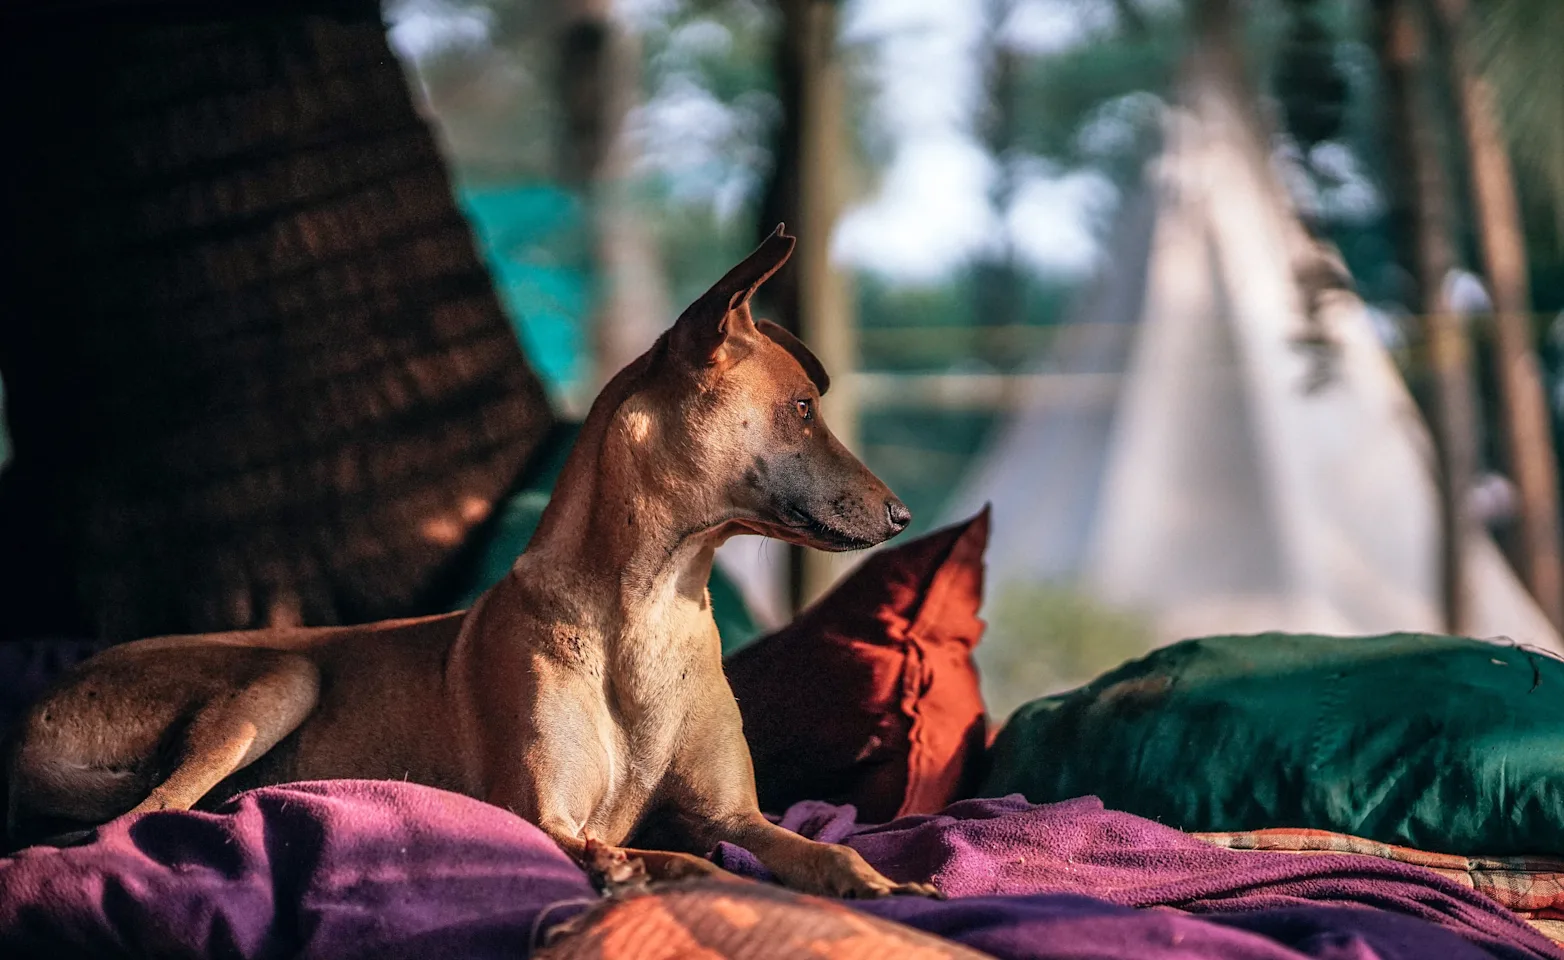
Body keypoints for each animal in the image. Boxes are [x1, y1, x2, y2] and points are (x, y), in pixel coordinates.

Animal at [6, 228, 932, 900]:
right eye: (803, 409)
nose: (903, 515)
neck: (650, 607)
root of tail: (26, 723)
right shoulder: (543, 817)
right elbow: (671, 860)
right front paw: (640, 869)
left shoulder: (735, 815)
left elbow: (817, 853)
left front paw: (891, 883)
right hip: (281, 676)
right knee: (142, 820)